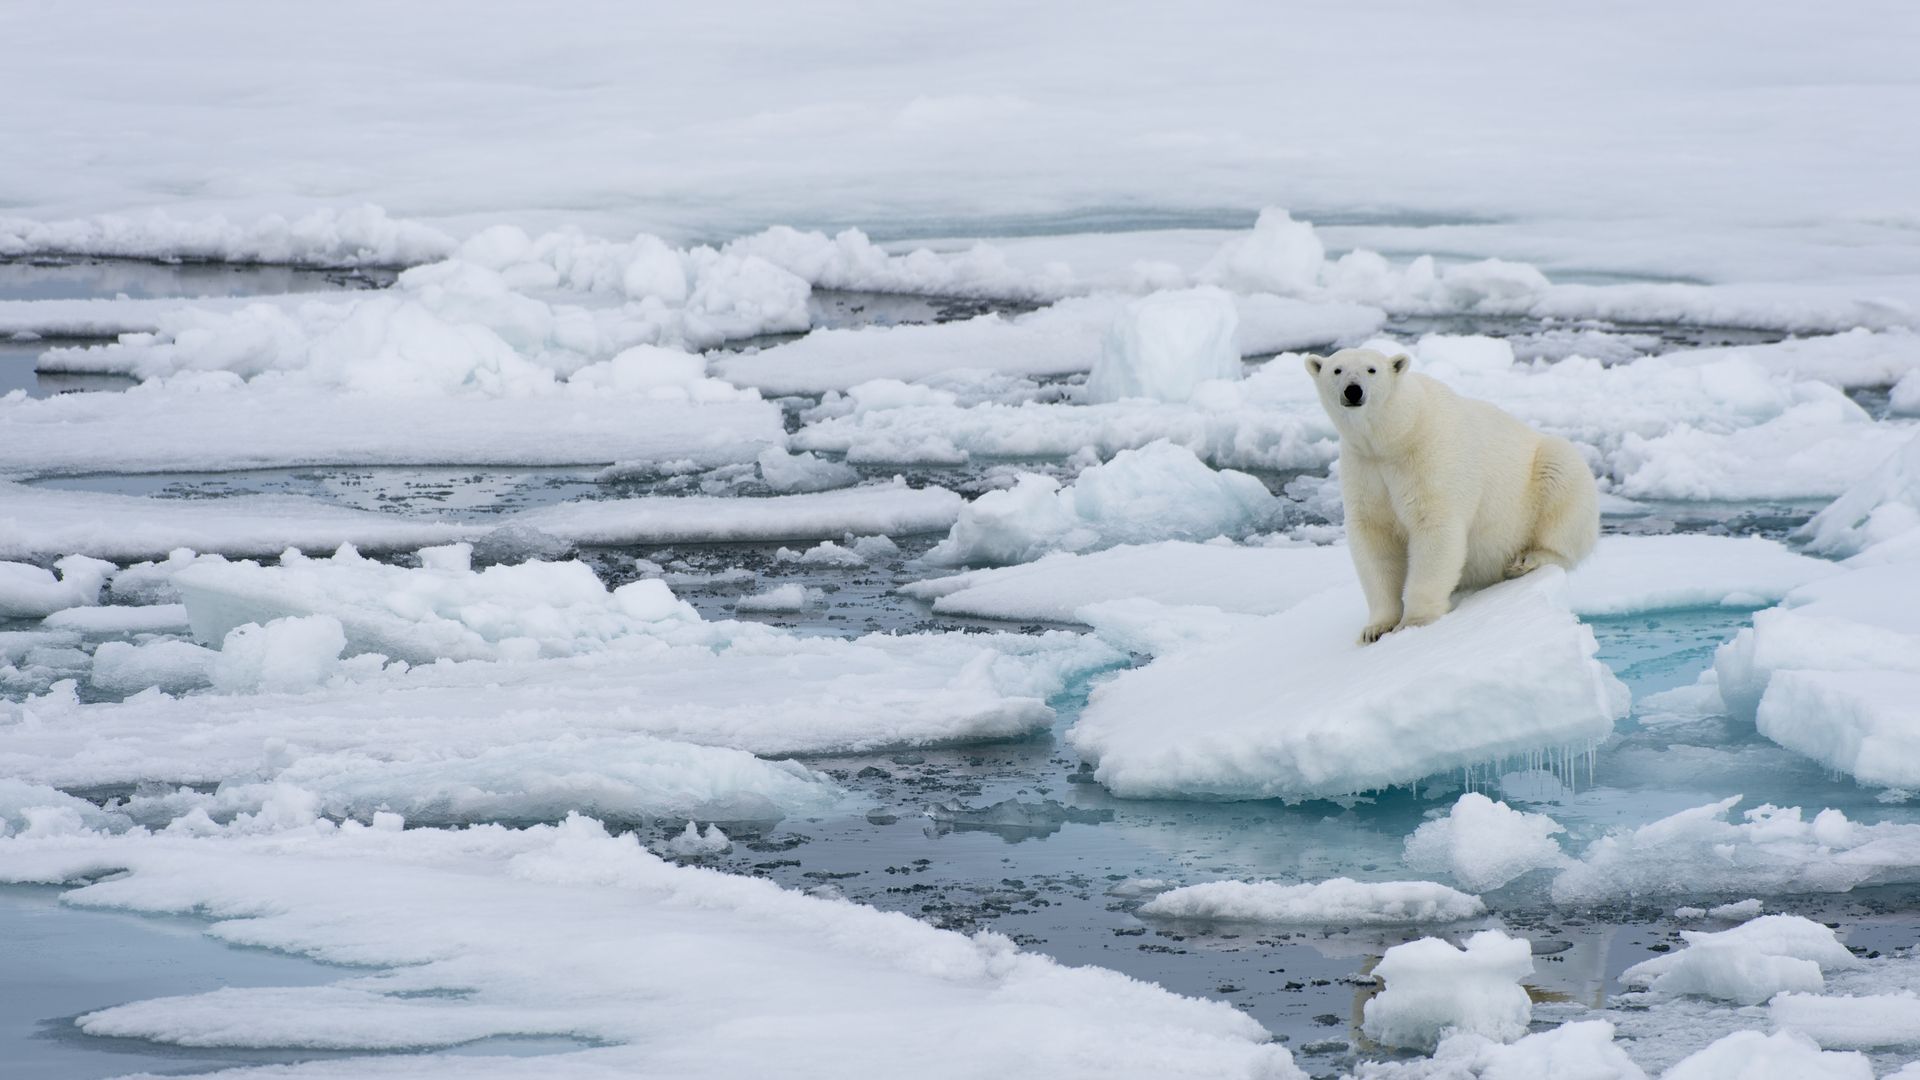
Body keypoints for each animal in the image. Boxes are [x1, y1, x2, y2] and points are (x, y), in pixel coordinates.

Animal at [1305, 347, 1599, 643]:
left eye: (1371, 370)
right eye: (1337, 370)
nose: (1353, 391)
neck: (1393, 435)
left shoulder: (1427, 456)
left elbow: (1433, 526)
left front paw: (1414, 622)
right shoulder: (1365, 467)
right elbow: (1374, 537)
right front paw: (1376, 628)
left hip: (1544, 475)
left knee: (1562, 494)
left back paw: (1526, 560)